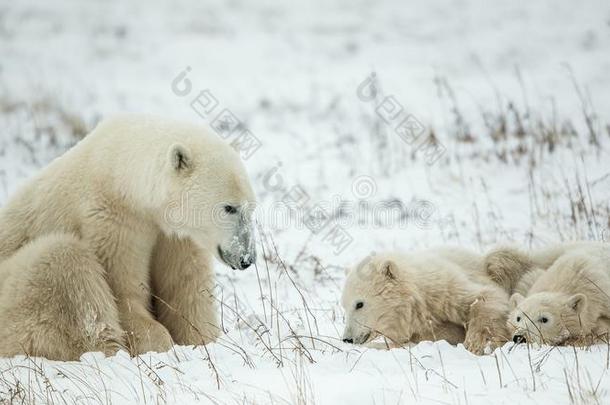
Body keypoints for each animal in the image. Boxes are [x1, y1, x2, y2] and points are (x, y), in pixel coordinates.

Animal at [0, 113, 255, 360]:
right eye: (229, 208)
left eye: (251, 207)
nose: (247, 258)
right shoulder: (113, 221)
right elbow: (123, 293)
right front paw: (160, 344)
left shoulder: (175, 235)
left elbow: (186, 290)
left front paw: (204, 341)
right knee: (64, 261)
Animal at [342, 248, 508, 356]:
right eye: (343, 306)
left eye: (359, 304)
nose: (347, 339)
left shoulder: (445, 290)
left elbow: (487, 297)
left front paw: (476, 344)